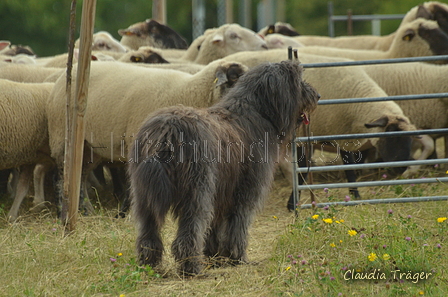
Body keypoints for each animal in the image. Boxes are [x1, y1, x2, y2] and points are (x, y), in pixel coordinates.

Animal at [46, 58, 248, 210]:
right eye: (234, 78)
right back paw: (63, 210)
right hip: (61, 135)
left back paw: (86, 210)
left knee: (80, 175)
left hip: (89, 147)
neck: (188, 92)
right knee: (61, 176)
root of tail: (64, 77)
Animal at [128, 60, 320, 276]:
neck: (256, 111)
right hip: (196, 192)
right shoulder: (245, 192)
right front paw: (237, 256)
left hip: (144, 195)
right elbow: (238, 225)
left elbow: (215, 226)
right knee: (190, 230)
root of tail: (167, 130)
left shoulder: (221, 191)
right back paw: (191, 266)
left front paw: (215, 255)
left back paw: (149, 264)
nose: (317, 96)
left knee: (148, 232)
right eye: (298, 81)